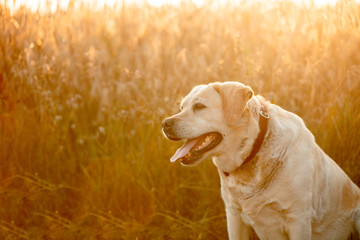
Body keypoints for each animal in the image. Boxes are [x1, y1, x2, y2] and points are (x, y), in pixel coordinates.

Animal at [162, 82, 360, 240]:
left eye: (199, 106)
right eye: (181, 107)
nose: (164, 124)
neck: (253, 152)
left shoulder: (298, 219)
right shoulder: (233, 215)